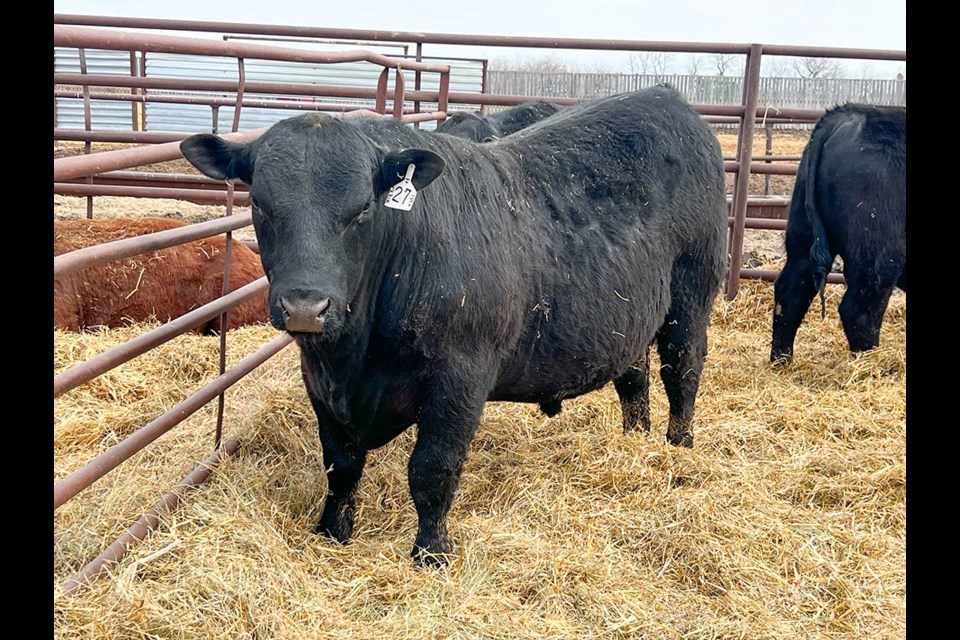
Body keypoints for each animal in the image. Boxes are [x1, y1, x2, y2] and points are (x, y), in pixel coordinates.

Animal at [772, 102, 908, 362]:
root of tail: (845, 114)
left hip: (802, 237)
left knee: (790, 292)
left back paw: (781, 361)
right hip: (878, 253)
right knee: (859, 309)